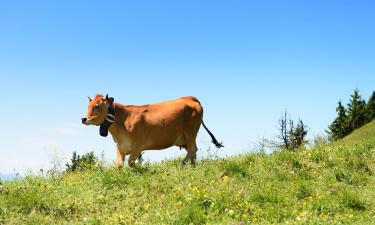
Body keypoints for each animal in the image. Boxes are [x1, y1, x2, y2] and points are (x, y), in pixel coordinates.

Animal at [82, 93, 223, 167]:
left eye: (97, 106)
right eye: (88, 105)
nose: (83, 119)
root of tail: (188, 97)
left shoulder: (138, 145)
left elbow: (131, 162)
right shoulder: (120, 145)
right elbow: (119, 164)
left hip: (191, 132)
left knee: (192, 150)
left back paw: (182, 165)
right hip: (187, 136)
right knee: (193, 151)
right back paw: (192, 167)